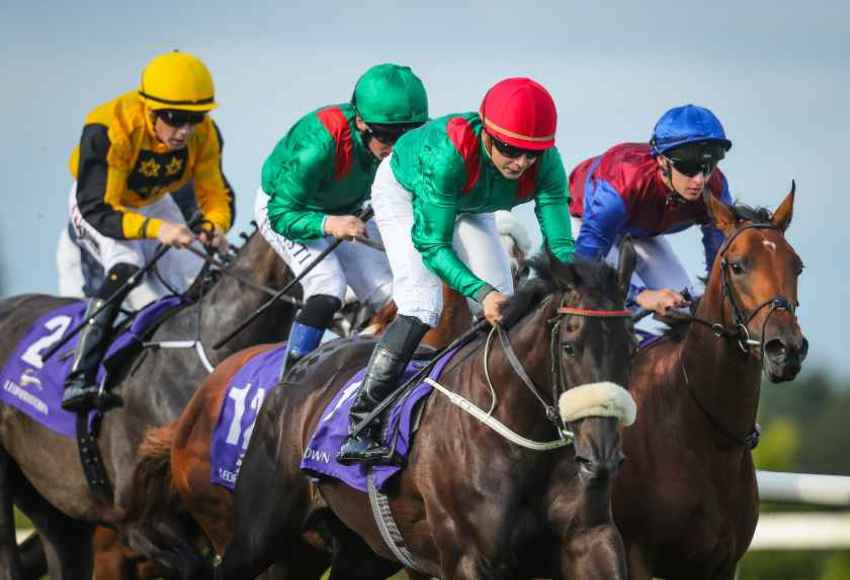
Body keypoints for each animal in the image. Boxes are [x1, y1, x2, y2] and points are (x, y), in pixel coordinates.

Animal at [207, 246, 636, 580]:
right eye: (570, 347)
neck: (520, 440)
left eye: (630, 347)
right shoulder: (469, 558)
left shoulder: (590, 539)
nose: (601, 458)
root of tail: (297, 369)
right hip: (261, 531)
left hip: (355, 549)